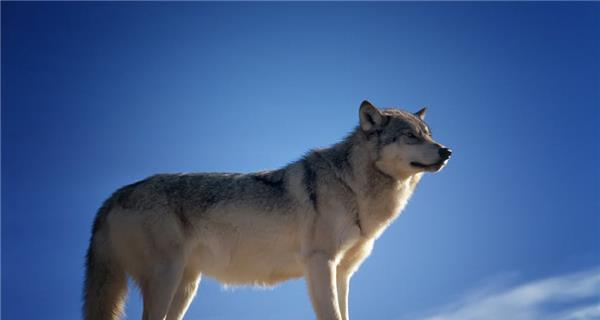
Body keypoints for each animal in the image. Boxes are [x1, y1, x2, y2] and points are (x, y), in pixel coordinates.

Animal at [83, 101, 450, 320]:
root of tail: (113, 196)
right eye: (410, 136)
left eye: (428, 135)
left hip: (185, 287)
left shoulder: (343, 273)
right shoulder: (320, 264)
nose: (447, 151)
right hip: (166, 279)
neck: (351, 186)